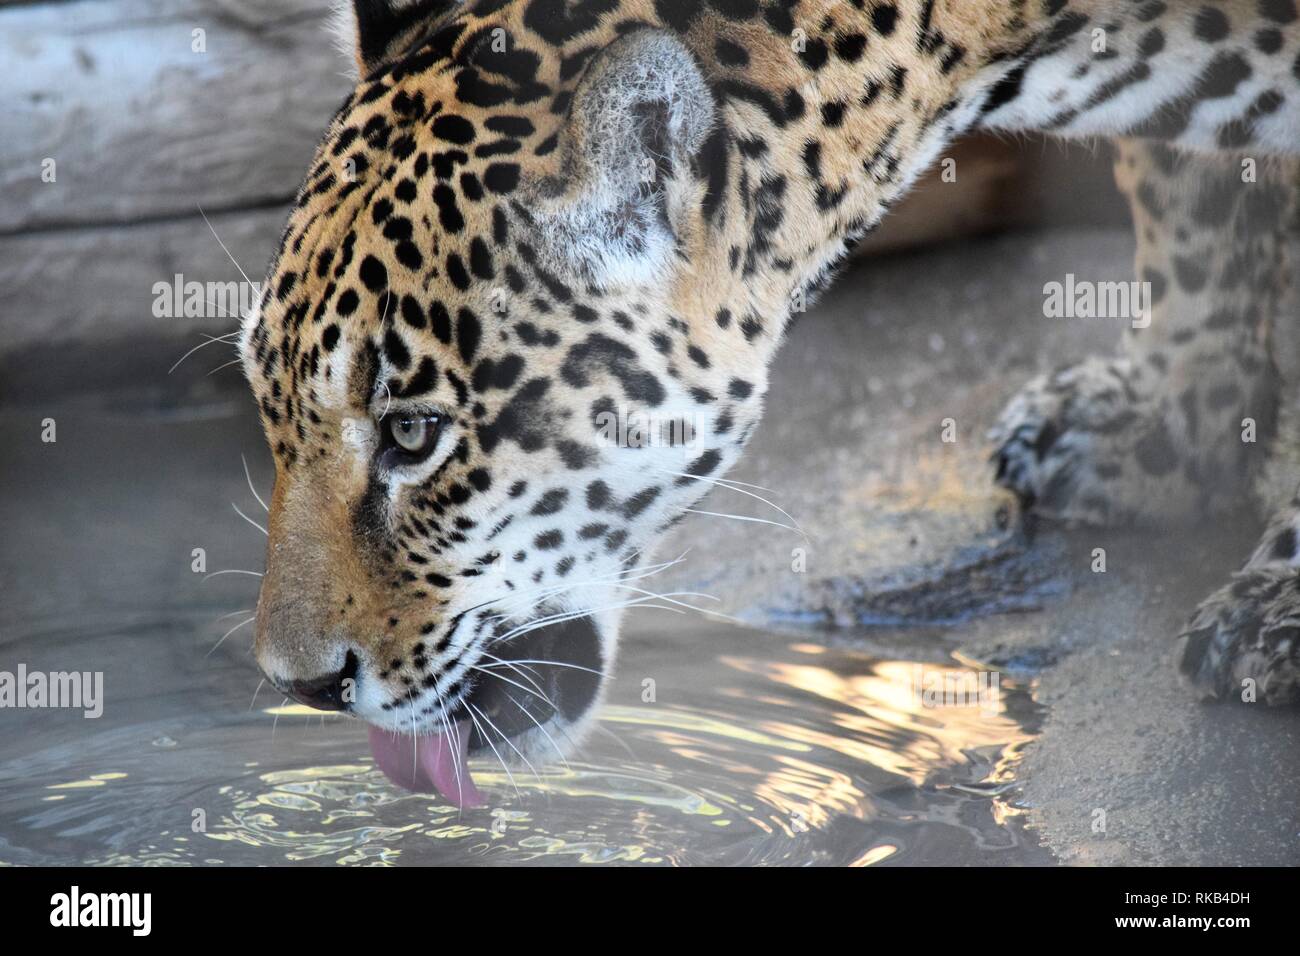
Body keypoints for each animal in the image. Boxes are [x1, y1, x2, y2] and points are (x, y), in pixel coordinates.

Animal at [240, 0, 1300, 804]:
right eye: (271, 409)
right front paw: (1166, 427)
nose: (303, 688)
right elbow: (1182, 197)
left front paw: (1277, 602)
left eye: (413, 433)